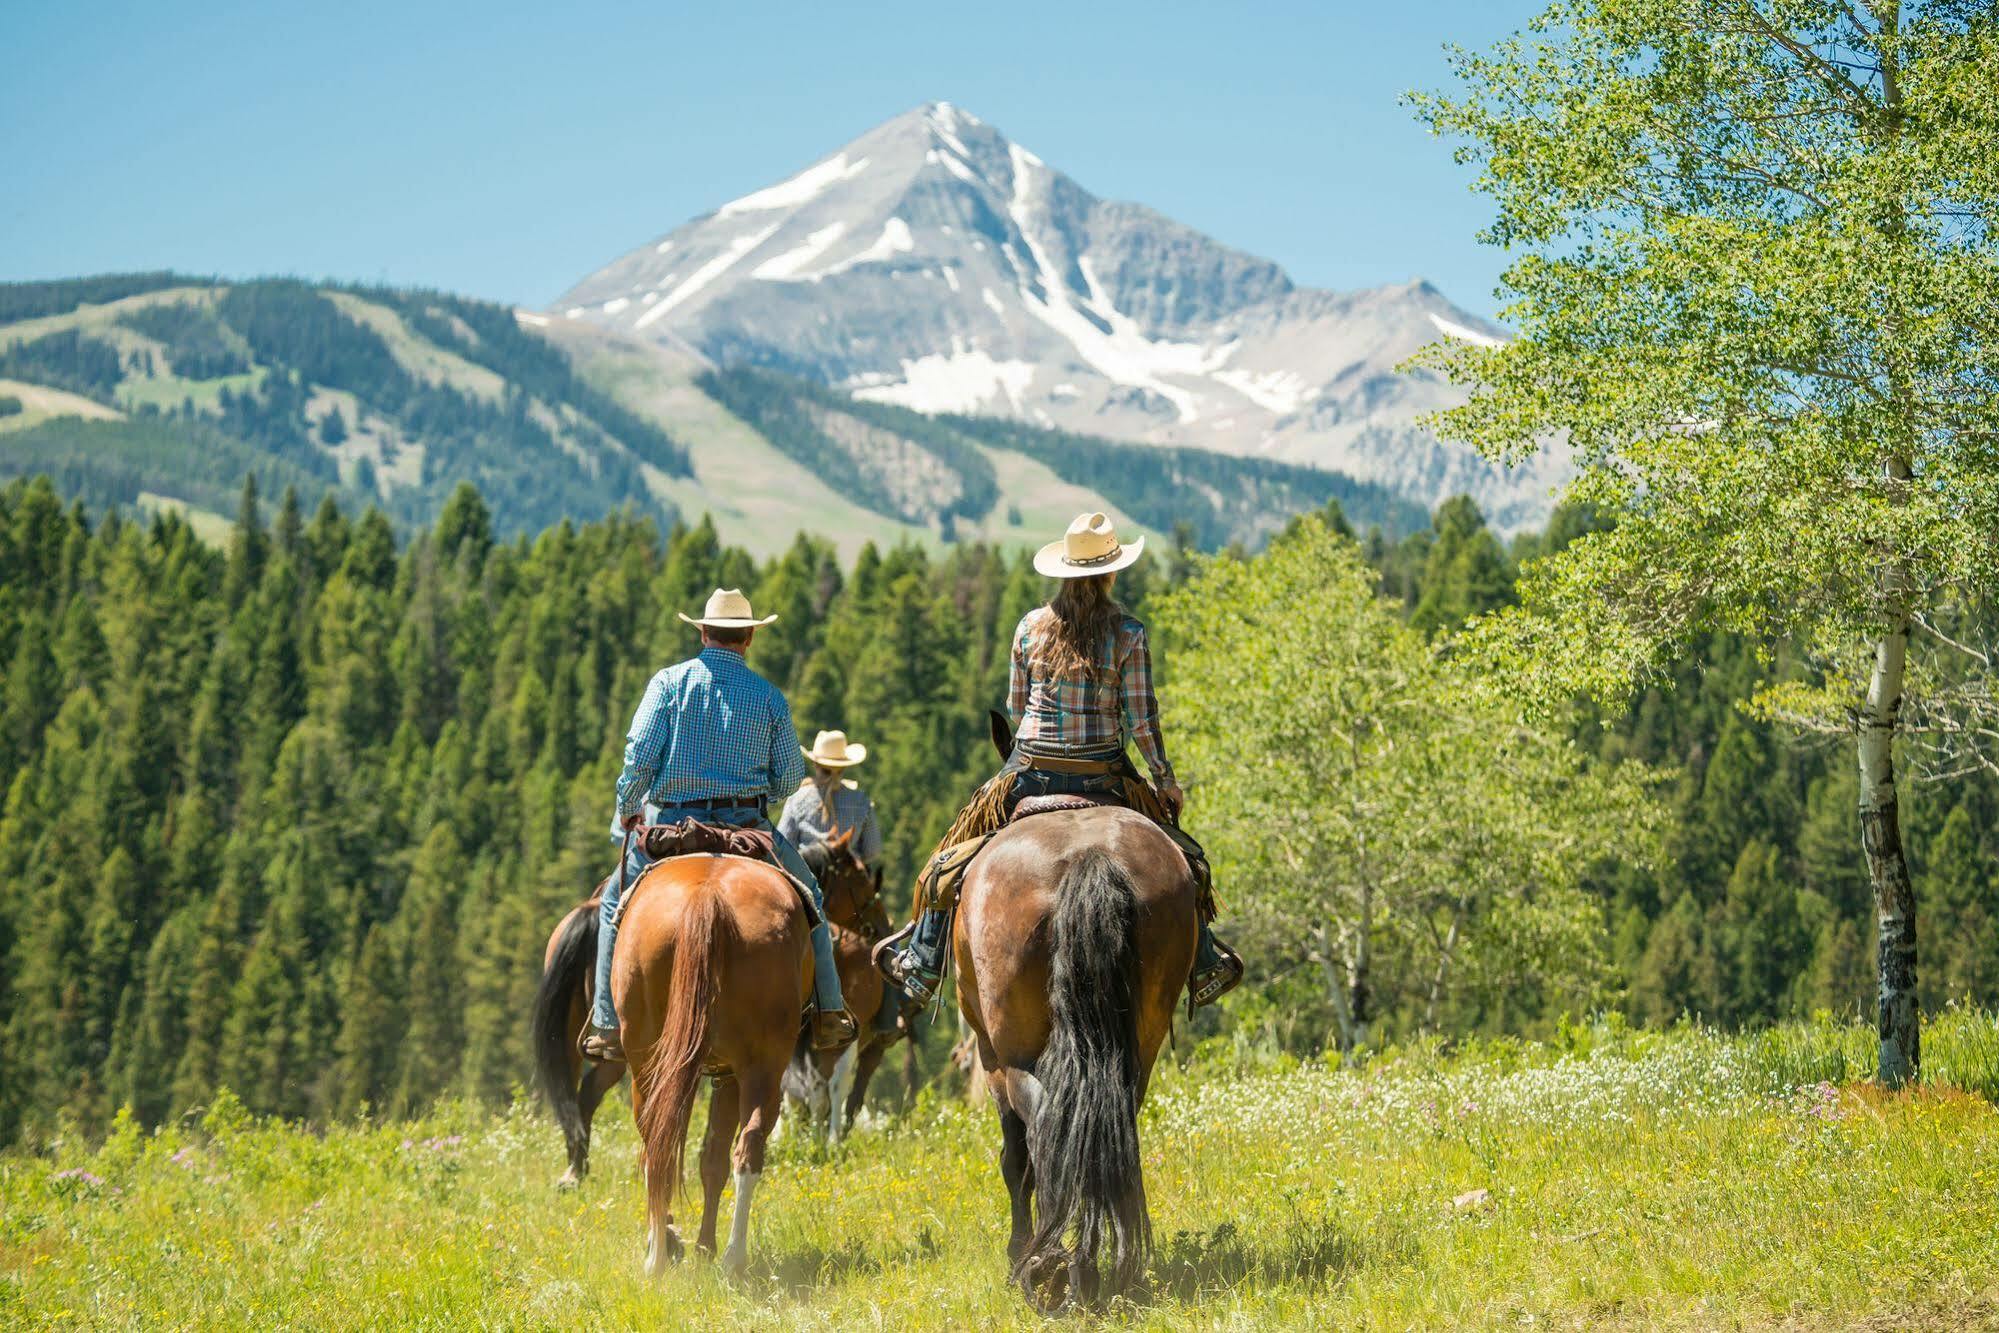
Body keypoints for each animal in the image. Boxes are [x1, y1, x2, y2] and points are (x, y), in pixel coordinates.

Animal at [539, 851, 811, 1279]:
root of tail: (707, 900)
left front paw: (686, 1242)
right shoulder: (727, 1074)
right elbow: (712, 1158)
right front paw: (703, 1247)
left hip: (648, 1061)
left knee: (655, 1143)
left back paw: (658, 1255)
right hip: (760, 1065)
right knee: (745, 1146)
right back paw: (731, 1258)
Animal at [955, 715, 1191, 1311]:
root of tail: (1089, 858)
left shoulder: (988, 1059)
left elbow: (1016, 1159)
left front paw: (1018, 1253)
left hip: (1012, 1051)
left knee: (1046, 1131)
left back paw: (1049, 1267)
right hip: (1140, 1043)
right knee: (1104, 1129)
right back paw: (1096, 1267)